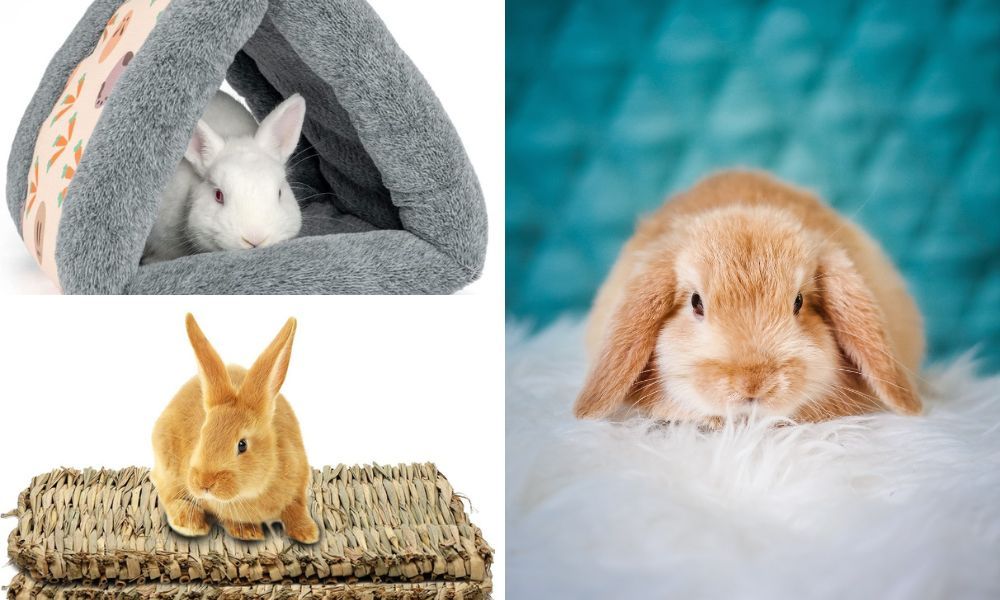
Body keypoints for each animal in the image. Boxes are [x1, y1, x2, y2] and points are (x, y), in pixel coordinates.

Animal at [151, 314, 320, 543]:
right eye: (202, 435)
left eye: (242, 445)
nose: (204, 483)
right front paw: (248, 532)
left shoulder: (298, 483)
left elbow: (297, 508)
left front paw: (308, 533)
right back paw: (190, 523)